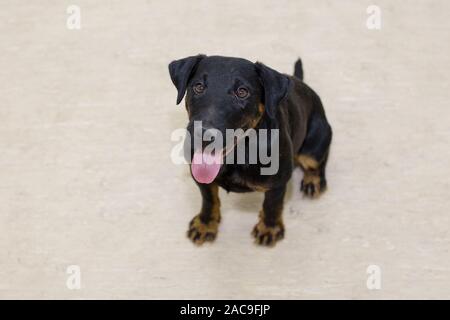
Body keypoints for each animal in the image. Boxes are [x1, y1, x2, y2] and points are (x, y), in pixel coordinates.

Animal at [169, 55, 330, 246]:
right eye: (198, 86)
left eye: (242, 92)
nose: (204, 134)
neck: (237, 155)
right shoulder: (201, 178)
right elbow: (209, 199)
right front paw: (205, 224)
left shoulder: (278, 183)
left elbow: (272, 205)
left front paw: (268, 229)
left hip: (315, 143)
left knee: (317, 162)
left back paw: (312, 182)